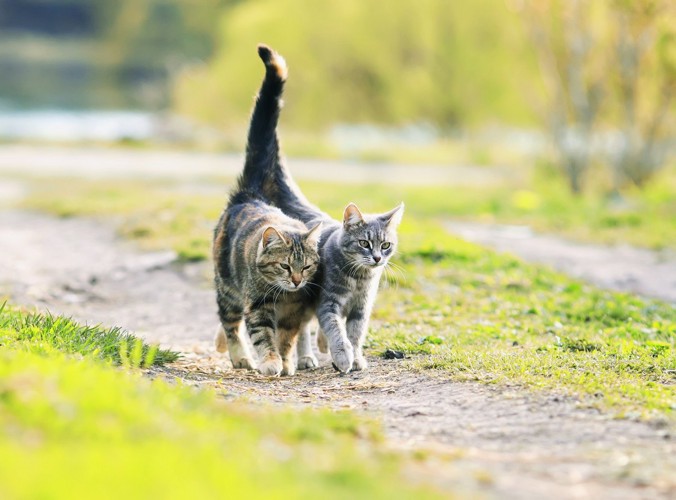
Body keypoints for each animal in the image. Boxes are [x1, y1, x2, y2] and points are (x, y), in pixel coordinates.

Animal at [214, 47, 324, 376]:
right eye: (285, 266)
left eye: (306, 267)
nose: (297, 281)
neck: (285, 295)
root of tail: (250, 193)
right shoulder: (258, 305)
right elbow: (263, 336)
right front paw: (271, 361)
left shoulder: (295, 311)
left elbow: (287, 338)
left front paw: (286, 361)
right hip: (228, 289)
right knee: (230, 323)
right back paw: (240, 357)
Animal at [243, 45, 402, 374]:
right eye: (365, 243)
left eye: (386, 245)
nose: (377, 258)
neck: (359, 279)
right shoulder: (328, 303)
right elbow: (337, 332)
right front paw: (343, 357)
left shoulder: (360, 309)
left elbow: (354, 335)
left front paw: (356, 357)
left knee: (303, 328)